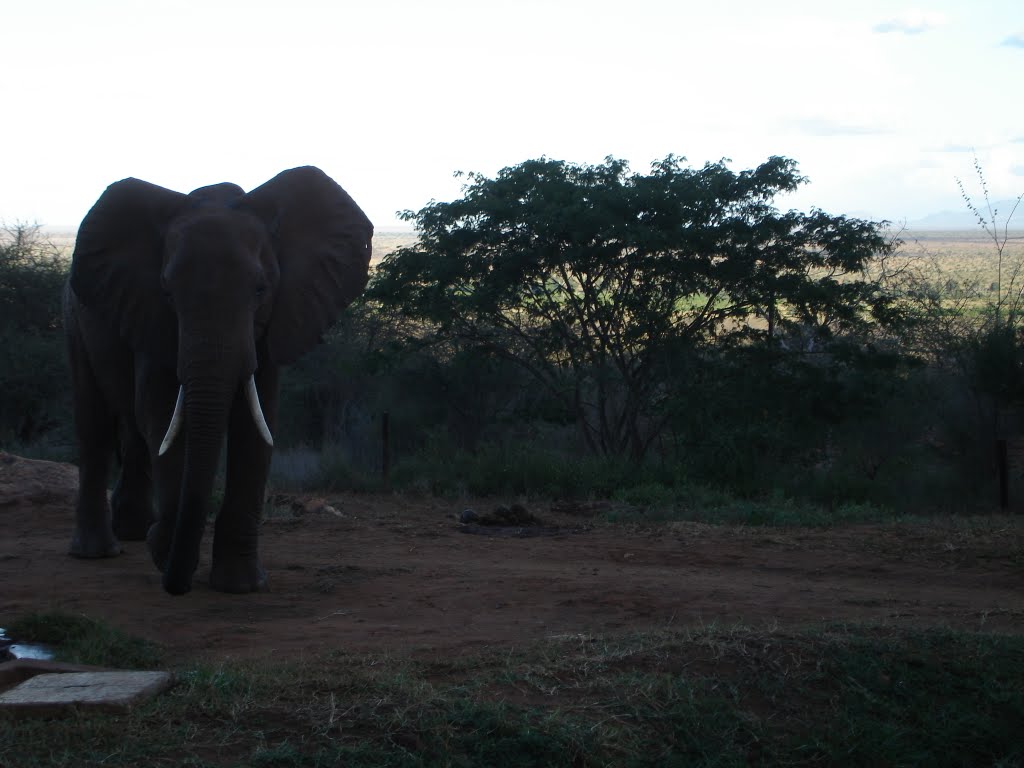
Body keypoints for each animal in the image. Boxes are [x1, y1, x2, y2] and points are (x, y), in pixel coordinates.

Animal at [62, 165, 372, 593]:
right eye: (168, 292)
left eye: (260, 290)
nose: (174, 583)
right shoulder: (152, 314)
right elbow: (160, 410)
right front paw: (166, 552)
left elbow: (257, 422)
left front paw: (240, 586)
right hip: (76, 318)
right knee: (96, 426)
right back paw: (101, 550)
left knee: (134, 434)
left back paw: (134, 532)